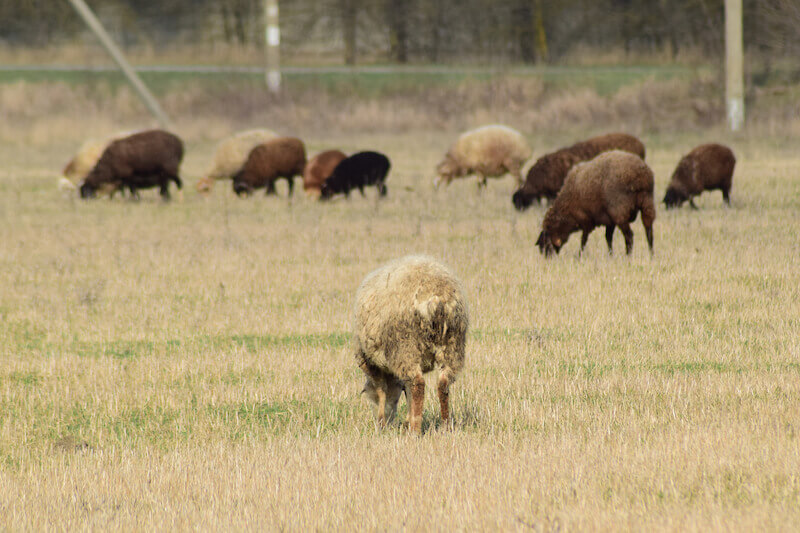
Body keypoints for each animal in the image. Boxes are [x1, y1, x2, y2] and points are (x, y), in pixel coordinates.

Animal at [354, 255, 468, 434]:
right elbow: (407, 391)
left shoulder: (371, 363)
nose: (388, 422)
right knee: (443, 383)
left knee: (418, 383)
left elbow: (382, 390)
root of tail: (436, 298)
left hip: (406, 346)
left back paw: (415, 430)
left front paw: (382, 423)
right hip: (453, 345)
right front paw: (405, 420)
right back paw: (445, 426)